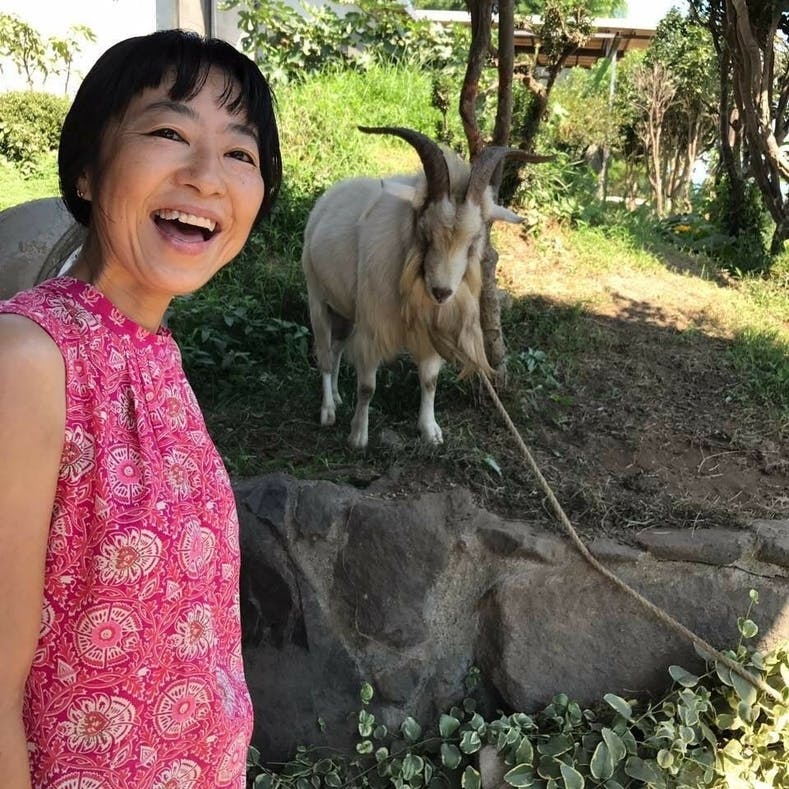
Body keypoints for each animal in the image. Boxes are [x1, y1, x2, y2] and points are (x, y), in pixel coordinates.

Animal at [301, 126, 549, 449]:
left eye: (473, 241)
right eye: (426, 234)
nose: (442, 292)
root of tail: (329, 197)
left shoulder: (430, 330)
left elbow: (429, 381)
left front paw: (431, 432)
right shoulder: (372, 328)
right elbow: (367, 386)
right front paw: (358, 436)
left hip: (346, 310)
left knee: (337, 347)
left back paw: (338, 397)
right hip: (317, 297)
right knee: (325, 356)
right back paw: (328, 410)